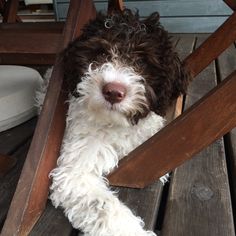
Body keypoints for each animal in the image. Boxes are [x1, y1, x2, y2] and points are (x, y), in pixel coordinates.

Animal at [40, 9, 189, 236]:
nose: (113, 92)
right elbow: (103, 207)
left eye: (141, 62)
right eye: (101, 54)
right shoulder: (76, 170)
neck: (118, 124)